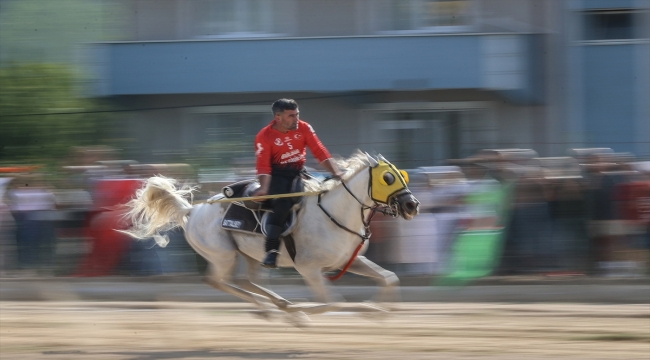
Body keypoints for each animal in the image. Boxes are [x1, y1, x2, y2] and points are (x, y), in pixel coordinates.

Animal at [121, 150, 418, 320]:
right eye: (387, 178)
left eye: (402, 175)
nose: (412, 205)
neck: (335, 213)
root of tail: (193, 210)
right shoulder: (310, 269)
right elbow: (333, 302)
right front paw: (301, 314)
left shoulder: (350, 260)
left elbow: (389, 278)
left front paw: (381, 310)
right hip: (223, 256)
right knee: (217, 281)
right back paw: (272, 307)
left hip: (251, 256)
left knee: (246, 280)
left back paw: (277, 305)